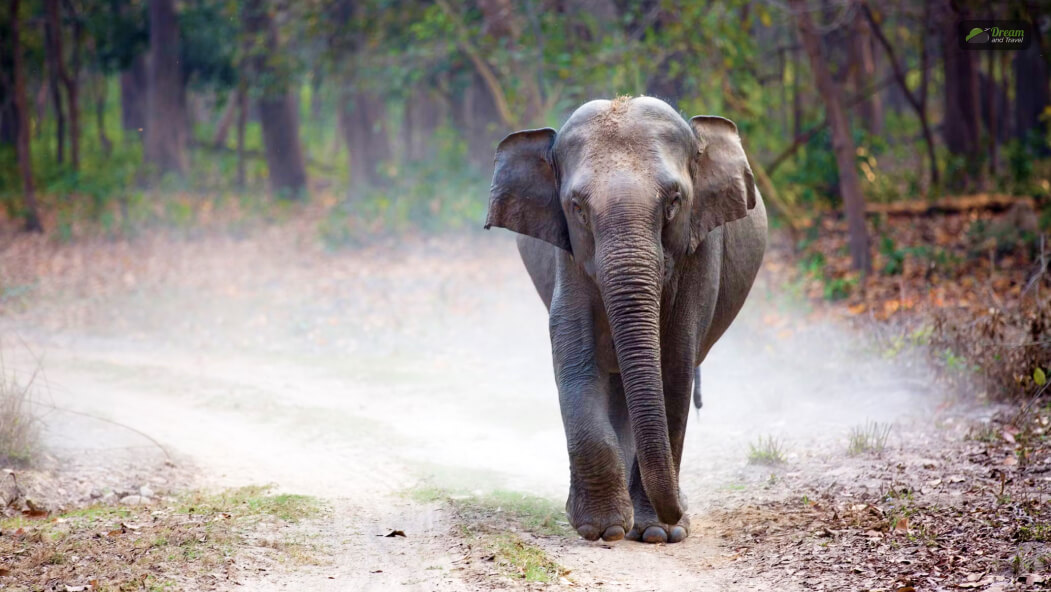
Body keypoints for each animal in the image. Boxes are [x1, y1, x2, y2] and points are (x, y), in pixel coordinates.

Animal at [481, 95, 765, 542]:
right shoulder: (568, 255)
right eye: (577, 208)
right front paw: (604, 529)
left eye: (673, 203)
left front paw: (659, 533)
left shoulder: (700, 251)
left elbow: (674, 367)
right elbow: (575, 359)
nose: (677, 512)